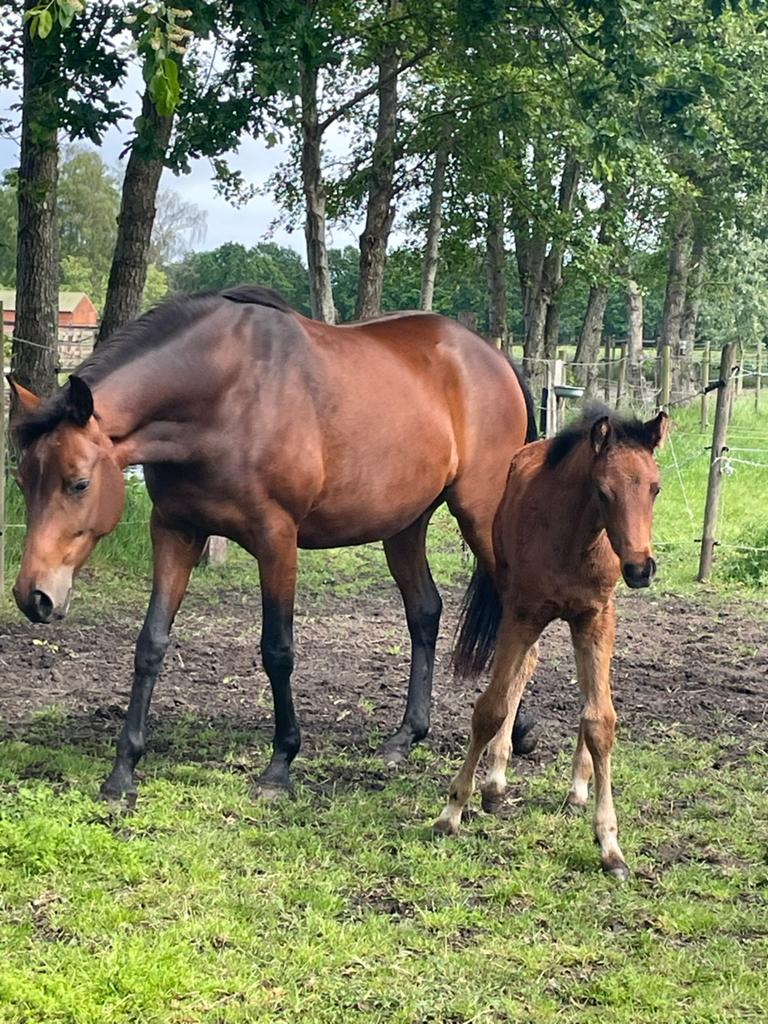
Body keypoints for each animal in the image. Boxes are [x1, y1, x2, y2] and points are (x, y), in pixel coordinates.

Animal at [9, 285, 537, 804]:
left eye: (78, 483)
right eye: (22, 482)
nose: (34, 596)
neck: (223, 393)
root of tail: (492, 358)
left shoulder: (276, 538)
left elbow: (277, 650)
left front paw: (280, 765)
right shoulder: (175, 531)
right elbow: (151, 644)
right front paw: (123, 772)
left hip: (479, 516)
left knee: (516, 627)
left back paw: (512, 734)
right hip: (405, 526)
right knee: (426, 613)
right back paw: (410, 736)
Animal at [433, 407, 668, 881]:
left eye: (655, 488)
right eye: (603, 490)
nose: (640, 569)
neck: (574, 538)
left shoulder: (595, 617)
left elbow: (600, 720)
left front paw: (610, 846)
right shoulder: (521, 613)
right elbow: (491, 708)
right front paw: (452, 812)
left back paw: (577, 786)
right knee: (522, 670)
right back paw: (495, 782)